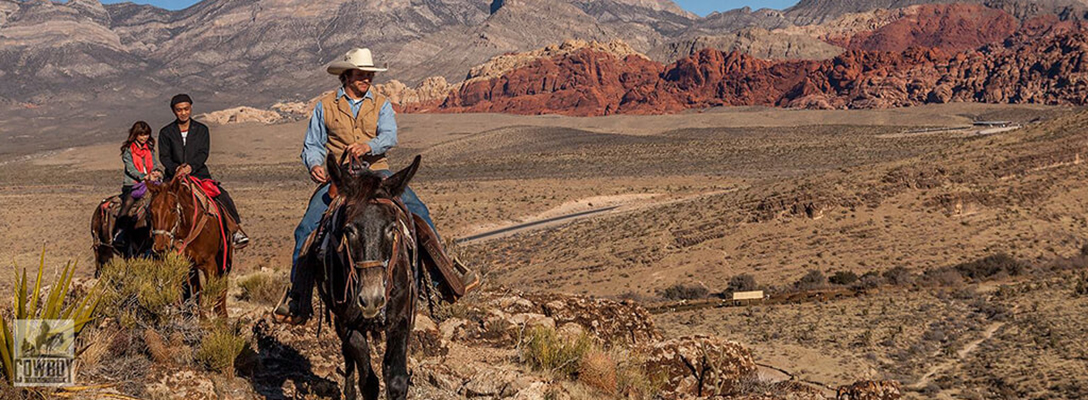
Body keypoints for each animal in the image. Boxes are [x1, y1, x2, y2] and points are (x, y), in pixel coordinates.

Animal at [146, 175, 233, 315]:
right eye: (151, 211)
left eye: (172, 209)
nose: (160, 246)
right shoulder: (186, 265)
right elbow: (193, 293)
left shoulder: (210, 264)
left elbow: (212, 292)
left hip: (224, 260)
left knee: (222, 290)